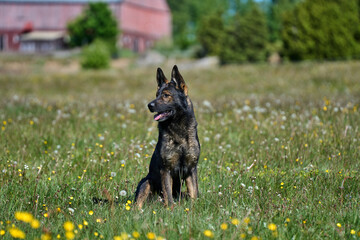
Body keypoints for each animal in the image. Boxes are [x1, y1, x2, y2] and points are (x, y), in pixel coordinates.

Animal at [134, 65, 201, 208]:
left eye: (166, 95)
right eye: (156, 95)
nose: (149, 105)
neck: (179, 130)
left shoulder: (191, 169)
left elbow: (194, 192)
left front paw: (193, 208)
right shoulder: (166, 169)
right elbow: (168, 195)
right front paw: (170, 209)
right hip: (146, 182)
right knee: (137, 204)